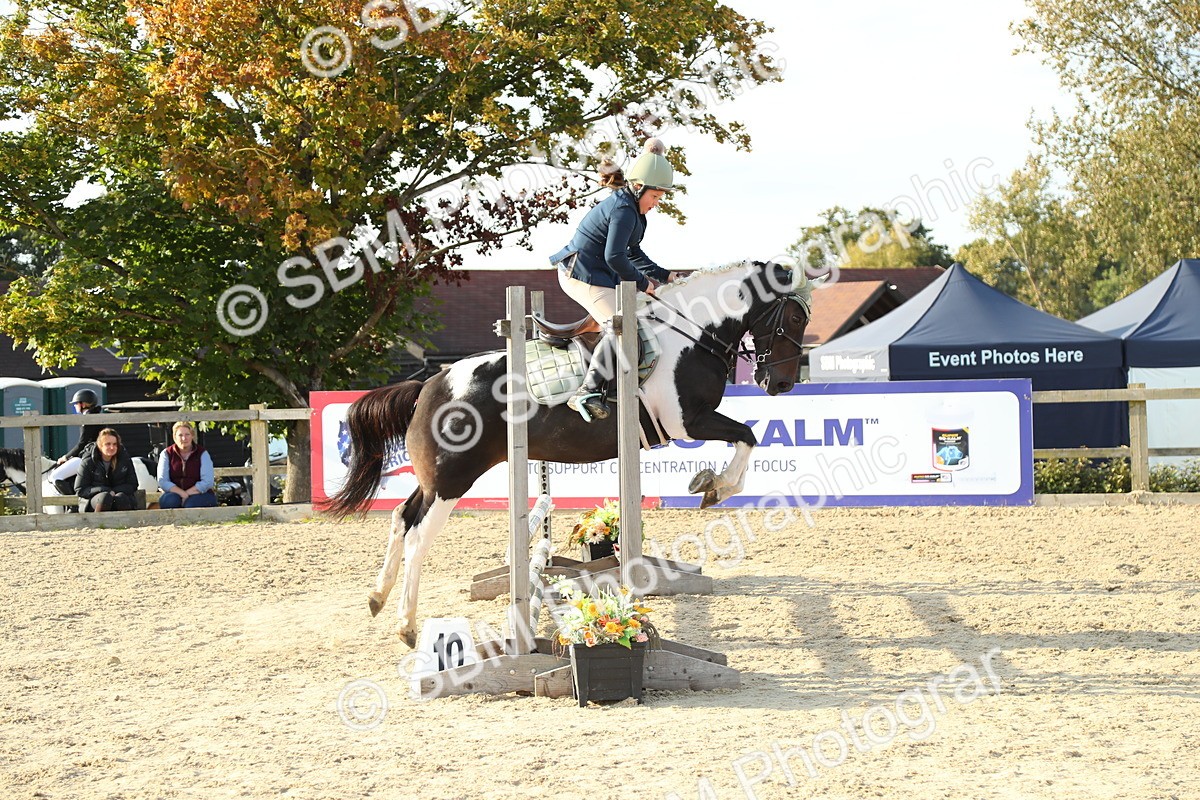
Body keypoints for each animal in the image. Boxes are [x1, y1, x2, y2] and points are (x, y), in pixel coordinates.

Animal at [326, 260, 816, 646]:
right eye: (794, 317)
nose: (781, 383)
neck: (691, 333)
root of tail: (429, 383)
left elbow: (745, 439)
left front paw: (708, 483)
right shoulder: (688, 421)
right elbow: (747, 437)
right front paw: (714, 487)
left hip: (435, 477)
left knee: (401, 517)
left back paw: (377, 597)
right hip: (452, 478)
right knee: (418, 536)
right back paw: (406, 625)